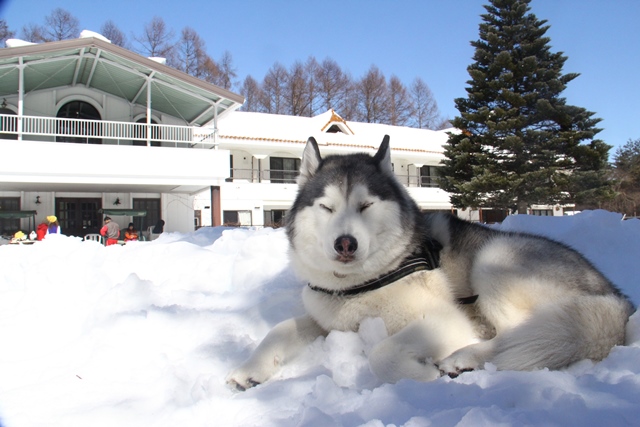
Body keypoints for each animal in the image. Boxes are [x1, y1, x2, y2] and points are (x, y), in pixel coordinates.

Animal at [226, 136, 636, 392]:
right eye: (326, 207)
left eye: (365, 205)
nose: (345, 243)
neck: (361, 284)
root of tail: (616, 298)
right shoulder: (328, 322)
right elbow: (279, 329)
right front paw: (249, 369)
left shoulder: (443, 320)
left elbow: (381, 353)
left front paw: (419, 377)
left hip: (494, 260)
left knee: (520, 337)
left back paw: (466, 358)